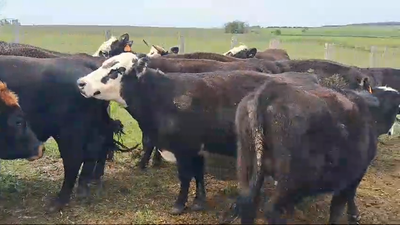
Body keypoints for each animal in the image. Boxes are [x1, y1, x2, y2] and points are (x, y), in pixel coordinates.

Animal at [233, 78, 400, 223]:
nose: (392, 132)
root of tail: (271, 90)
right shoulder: (353, 174)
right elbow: (339, 205)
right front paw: (354, 216)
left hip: (248, 166)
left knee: (248, 203)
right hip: (290, 181)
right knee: (271, 209)